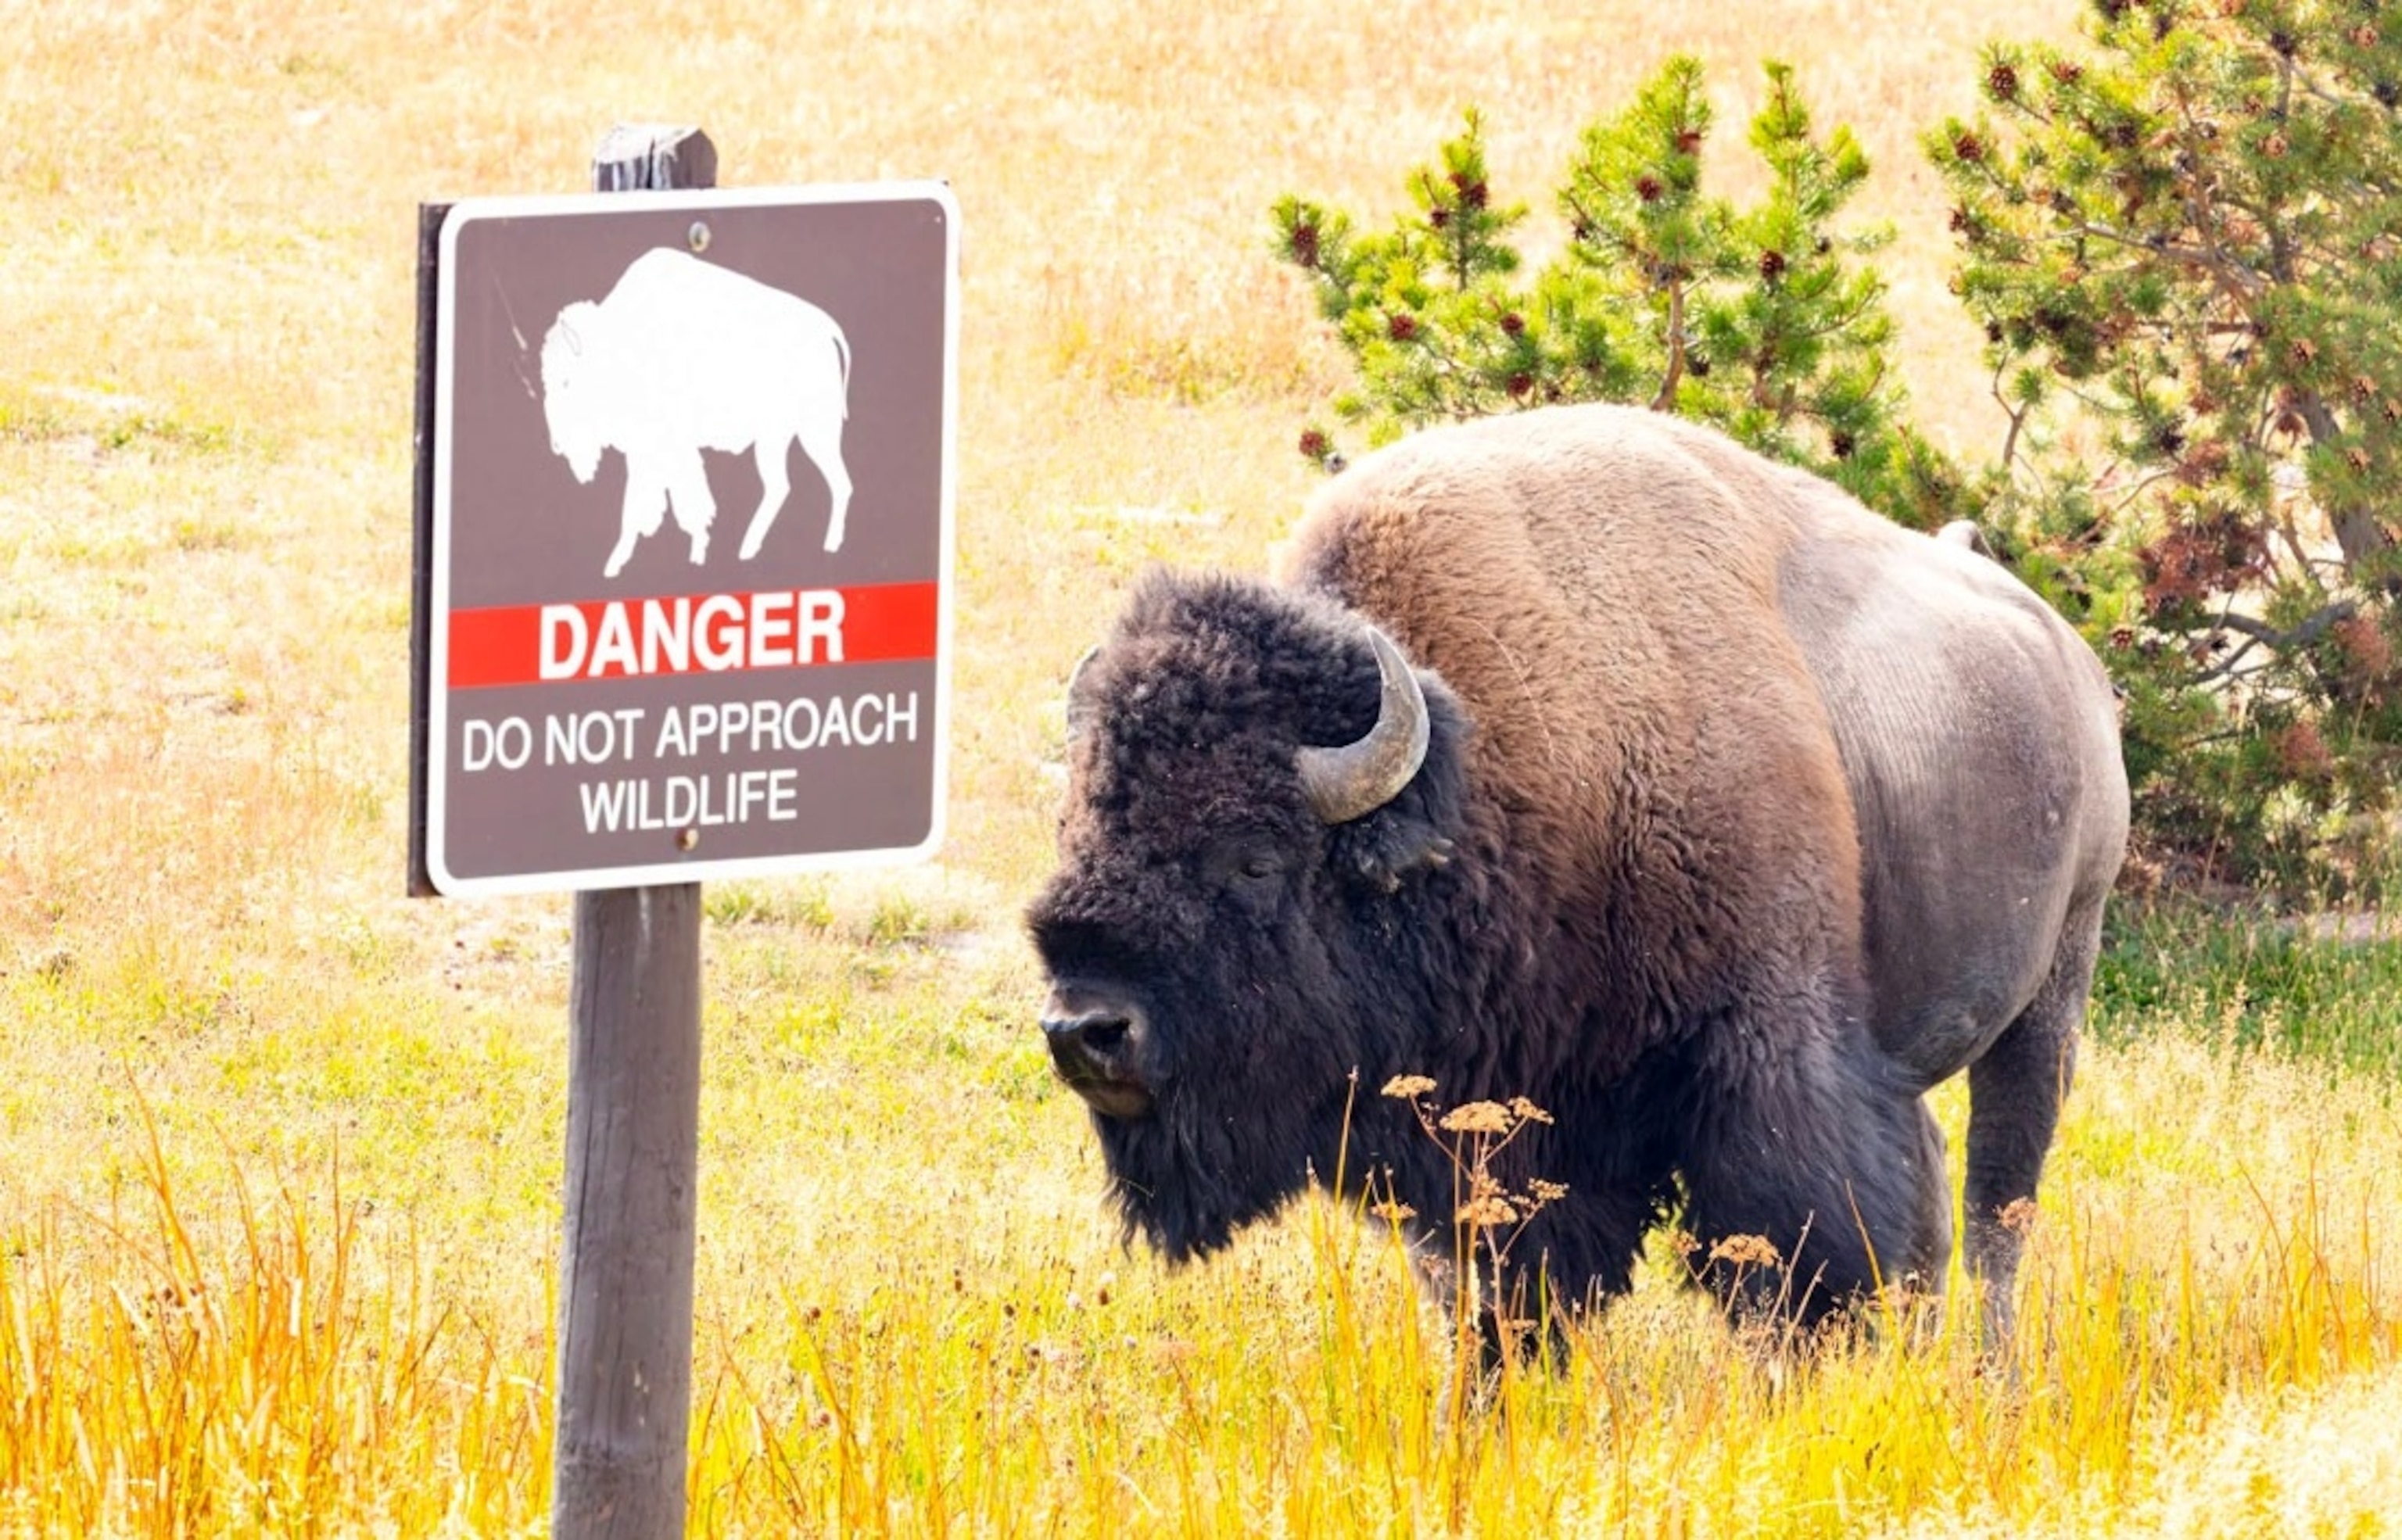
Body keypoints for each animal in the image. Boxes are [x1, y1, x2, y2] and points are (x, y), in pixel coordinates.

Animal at [1027, 404, 2129, 1338]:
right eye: (1077, 829)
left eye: (1256, 858)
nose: (1087, 1029)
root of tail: (2068, 658)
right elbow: (1490, 1283)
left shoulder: (1766, 1053)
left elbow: (1793, 1250)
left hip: (2052, 994)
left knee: (1998, 1206)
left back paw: (1989, 1376)